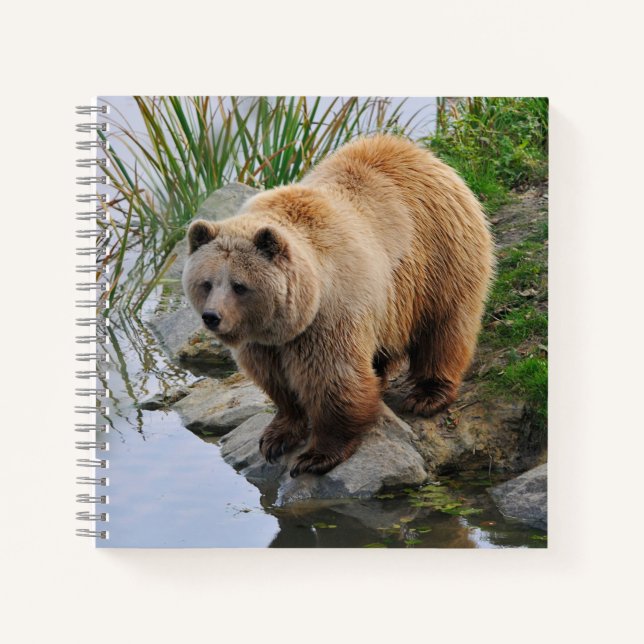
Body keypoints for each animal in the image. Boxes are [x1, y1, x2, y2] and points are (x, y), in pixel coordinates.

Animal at [182, 134, 494, 477]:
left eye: (239, 285)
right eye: (206, 283)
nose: (212, 317)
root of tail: (418, 152)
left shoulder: (329, 315)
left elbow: (333, 380)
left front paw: (316, 455)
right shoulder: (264, 341)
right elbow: (276, 382)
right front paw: (276, 436)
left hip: (439, 256)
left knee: (444, 327)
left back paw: (427, 394)